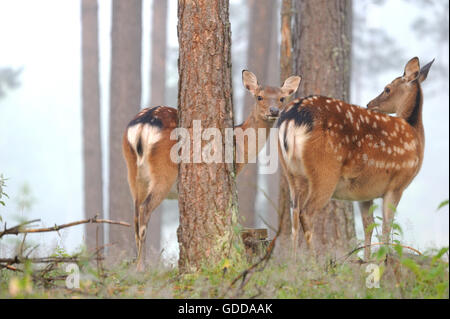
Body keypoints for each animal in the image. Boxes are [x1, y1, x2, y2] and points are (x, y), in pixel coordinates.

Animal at [122, 70, 302, 270]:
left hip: (132, 171)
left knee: (136, 214)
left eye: (282, 98)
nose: (274, 111)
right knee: (144, 209)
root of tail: (141, 127)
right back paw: (142, 267)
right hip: (164, 171)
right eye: (259, 96)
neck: (241, 146)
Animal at [276, 57, 434, 262]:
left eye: (387, 88)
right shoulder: (397, 184)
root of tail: (291, 118)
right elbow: (387, 225)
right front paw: (384, 259)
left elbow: (369, 225)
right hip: (325, 171)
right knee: (306, 212)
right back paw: (315, 260)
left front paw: (367, 259)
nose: (369, 103)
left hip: (290, 172)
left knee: (294, 214)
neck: (415, 135)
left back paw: (294, 261)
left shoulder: (364, 192)